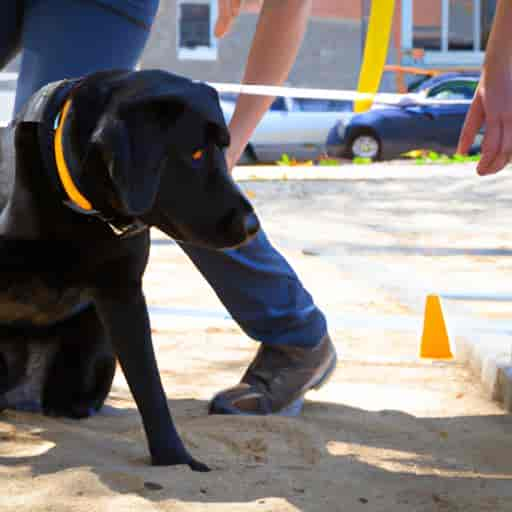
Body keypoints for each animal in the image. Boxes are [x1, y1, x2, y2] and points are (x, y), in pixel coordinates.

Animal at [0, 69, 260, 472]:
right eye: (195, 153)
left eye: (223, 148)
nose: (252, 226)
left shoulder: (124, 294)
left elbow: (150, 386)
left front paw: (175, 459)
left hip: (94, 348)